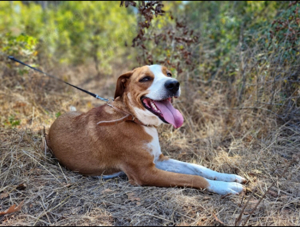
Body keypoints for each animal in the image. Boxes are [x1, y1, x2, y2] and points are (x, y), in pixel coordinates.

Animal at [45, 65, 245, 195]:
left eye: (168, 73)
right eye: (145, 79)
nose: (174, 83)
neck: (133, 118)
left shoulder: (158, 159)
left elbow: (198, 168)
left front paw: (228, 177)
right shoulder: (145, 173)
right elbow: (193, 178)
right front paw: (225, 187)